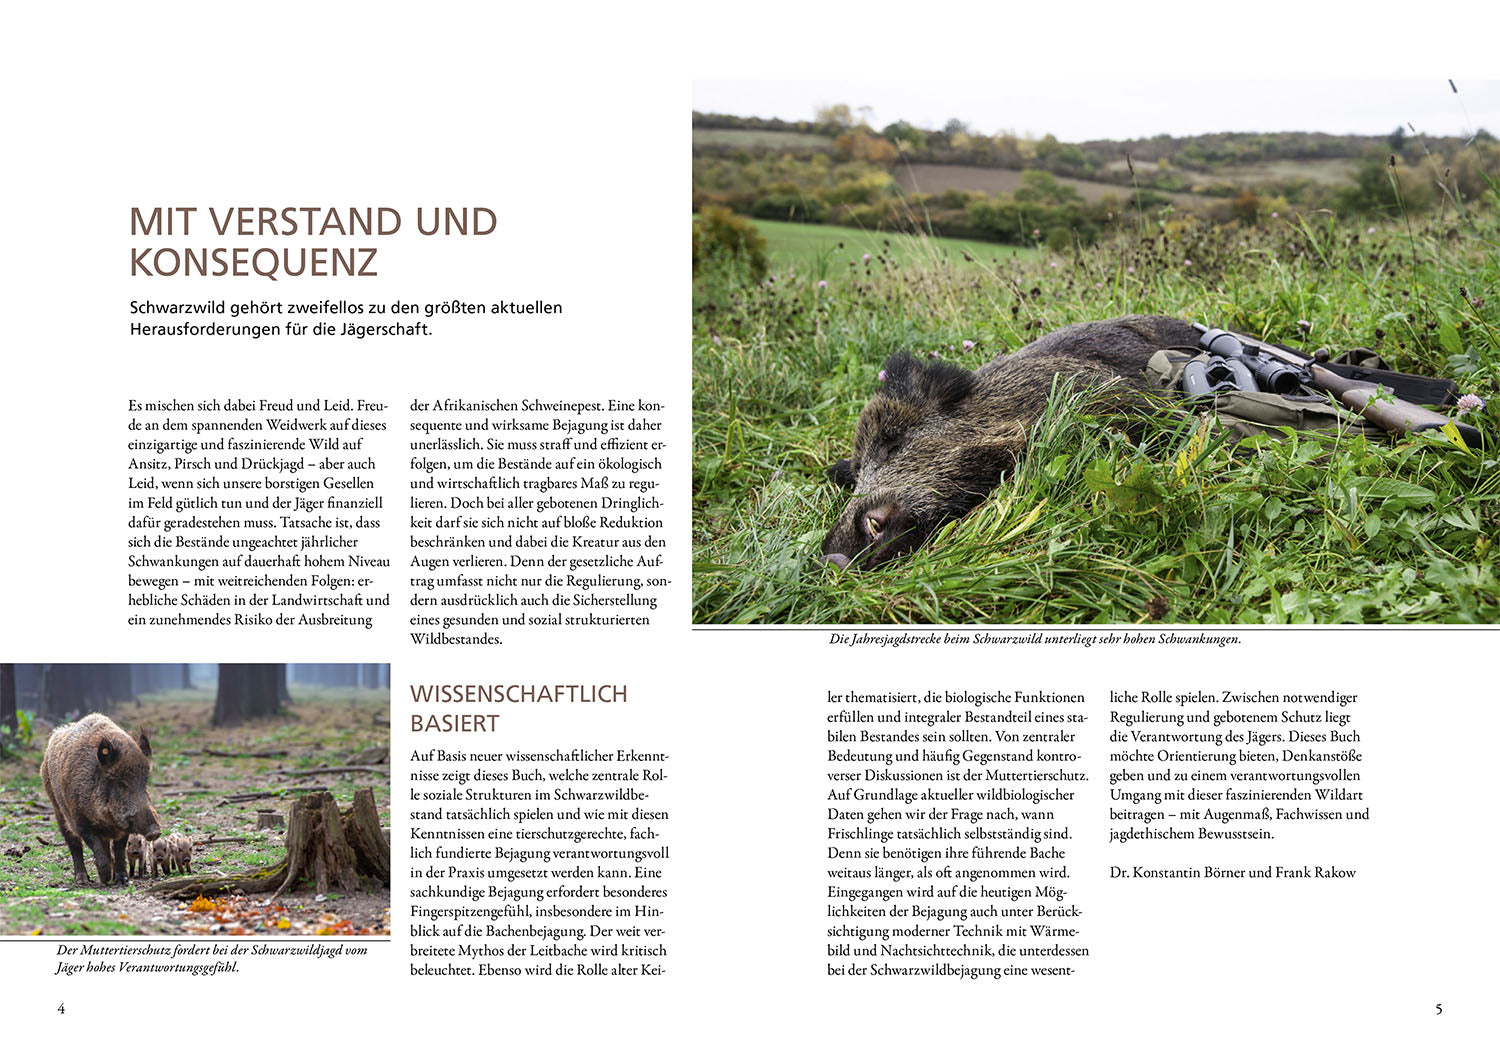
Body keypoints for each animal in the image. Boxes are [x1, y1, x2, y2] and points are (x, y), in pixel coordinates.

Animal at [39, 713, 161, 886]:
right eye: (121, 783)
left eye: (145, 782)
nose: (155, 832)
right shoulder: (81, 821)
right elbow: (95, 847)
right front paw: (105, 878)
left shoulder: (122, 828)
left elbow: (119, 850)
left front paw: (122, 880)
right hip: (57, 809)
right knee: (74, 844)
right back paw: (82, 880)